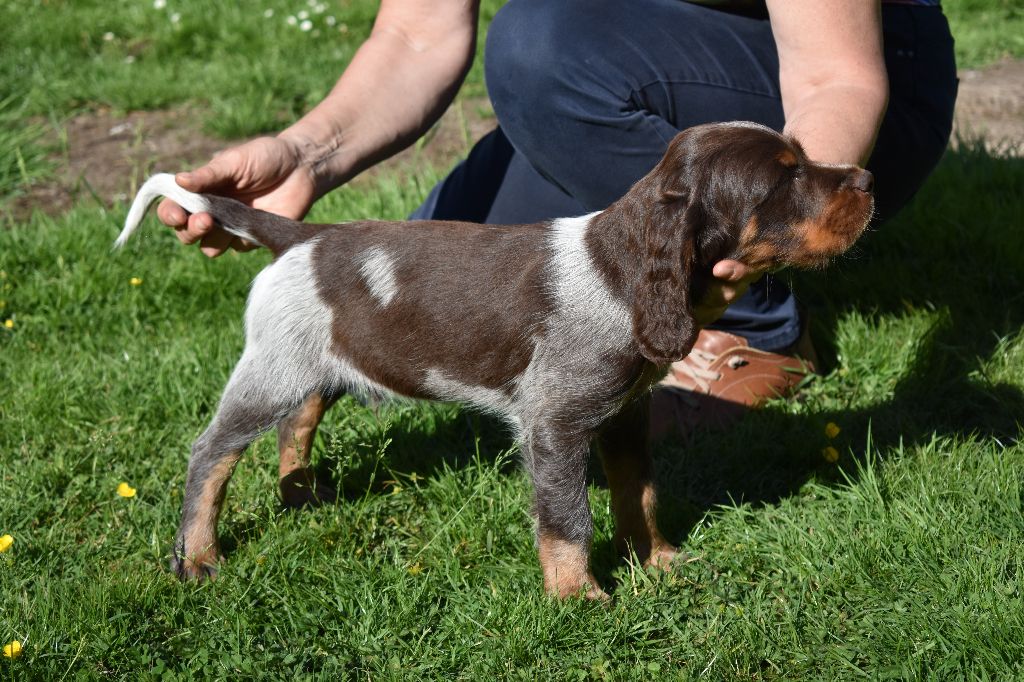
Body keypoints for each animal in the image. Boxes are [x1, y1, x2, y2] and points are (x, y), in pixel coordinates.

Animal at [117, 123, 872, 602]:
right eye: (784, 180)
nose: (866, 177)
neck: (623, 269)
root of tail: (305, 235)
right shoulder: (556, 425)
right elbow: (568, 519)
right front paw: (578, 597)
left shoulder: (626, 413)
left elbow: (641, 493)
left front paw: (657, 562)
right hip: (272, 369)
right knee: (211, 453)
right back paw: (199, 557)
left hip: (318, 364)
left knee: (295, 424)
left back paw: (301, 495)